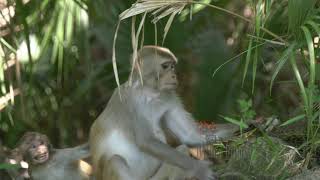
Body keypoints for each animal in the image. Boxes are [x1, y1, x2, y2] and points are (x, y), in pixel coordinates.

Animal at [89, 45, 216, 179]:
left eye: (172, 66)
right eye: (165, 66)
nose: (174, 76)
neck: (148, 92)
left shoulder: (169, 95)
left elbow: (191, 136)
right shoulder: (129, 100)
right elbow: (146, 141)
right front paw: (199, 168)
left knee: (182, 149)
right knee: (115, 161)